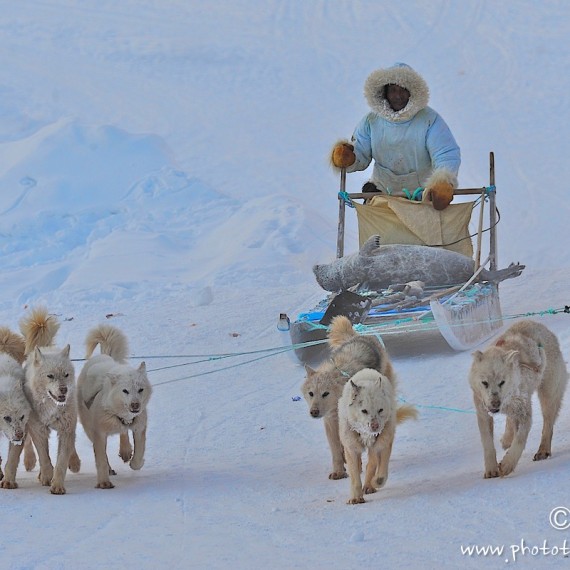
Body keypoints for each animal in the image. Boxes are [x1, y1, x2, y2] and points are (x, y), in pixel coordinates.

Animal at [19, 306, 80, 492]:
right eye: (50, 376)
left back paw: (75, 462)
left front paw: (57, 485)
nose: (64, 389)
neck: (52, 408)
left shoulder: (66, 429)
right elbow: (44, 457)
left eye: (66, 375)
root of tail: (44, 347)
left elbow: (61, 461)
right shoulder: (38, 429)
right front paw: (47, 476)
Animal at [79, 322, 153, 486]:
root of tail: (103, 355)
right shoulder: (99, 433)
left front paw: (135, 462)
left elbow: (139, 451)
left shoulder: (139, 426)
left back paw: (125, 450)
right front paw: (104, 482)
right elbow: (101, 458)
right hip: (89, 428)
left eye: (140, 389)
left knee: (123, 432)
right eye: (125, 391)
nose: (135, 405)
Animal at [300, 316, 392, 480]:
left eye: (325, 393)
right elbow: (336, 449)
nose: (314, 412)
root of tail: (356, 337)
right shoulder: (330, 423)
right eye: (311, 393)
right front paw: (338, 470)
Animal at [336, 366, 414, 504]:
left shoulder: (383, 445)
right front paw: (356, 497)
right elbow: (355, 476)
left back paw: (369, 485)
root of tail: (368, 370)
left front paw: (375, 482)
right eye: (364, 410)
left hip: (378, 444)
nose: (375, 426)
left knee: (371, 464)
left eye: (380, 410)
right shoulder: (351, 448)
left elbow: (380, 472)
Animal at [468, 320, 564, 474]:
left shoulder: (525, 414)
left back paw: (543, 450)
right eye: (485, 383)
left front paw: (507, 465)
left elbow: (519, 440)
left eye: (502, 382)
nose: (495, 404)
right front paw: (491, 470)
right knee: (512, 422)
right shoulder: (483, 413)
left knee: (548, 425)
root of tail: (543, 327)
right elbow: (487, 443)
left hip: (548, 395)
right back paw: (507, 438)